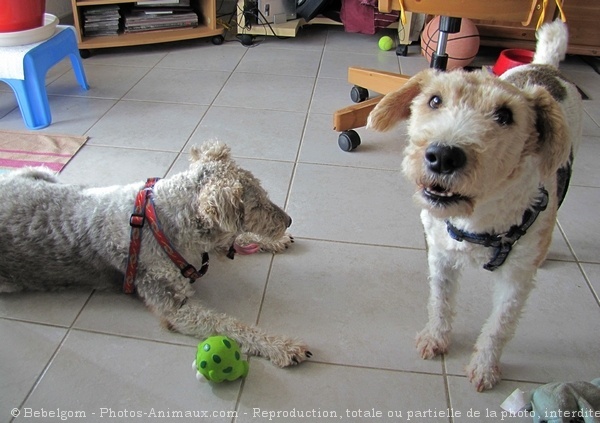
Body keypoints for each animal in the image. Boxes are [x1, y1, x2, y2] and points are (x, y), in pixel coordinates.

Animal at [0, 142, 310, 368]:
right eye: (255, 205)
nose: (288, 221)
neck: (159, 219)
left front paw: (272, 241)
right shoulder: (175, 307)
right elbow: (230, 325)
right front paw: (283, 346)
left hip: (40, 173)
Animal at [366, 19, 580, 390]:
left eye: (506, 115)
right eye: (434, 99)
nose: (442, 156)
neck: (477, 220)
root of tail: (545, 67)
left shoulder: (516, 281)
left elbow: (498, 327)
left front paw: (484, 368)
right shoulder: (440, 255)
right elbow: (440, 302)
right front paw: (435, 338)